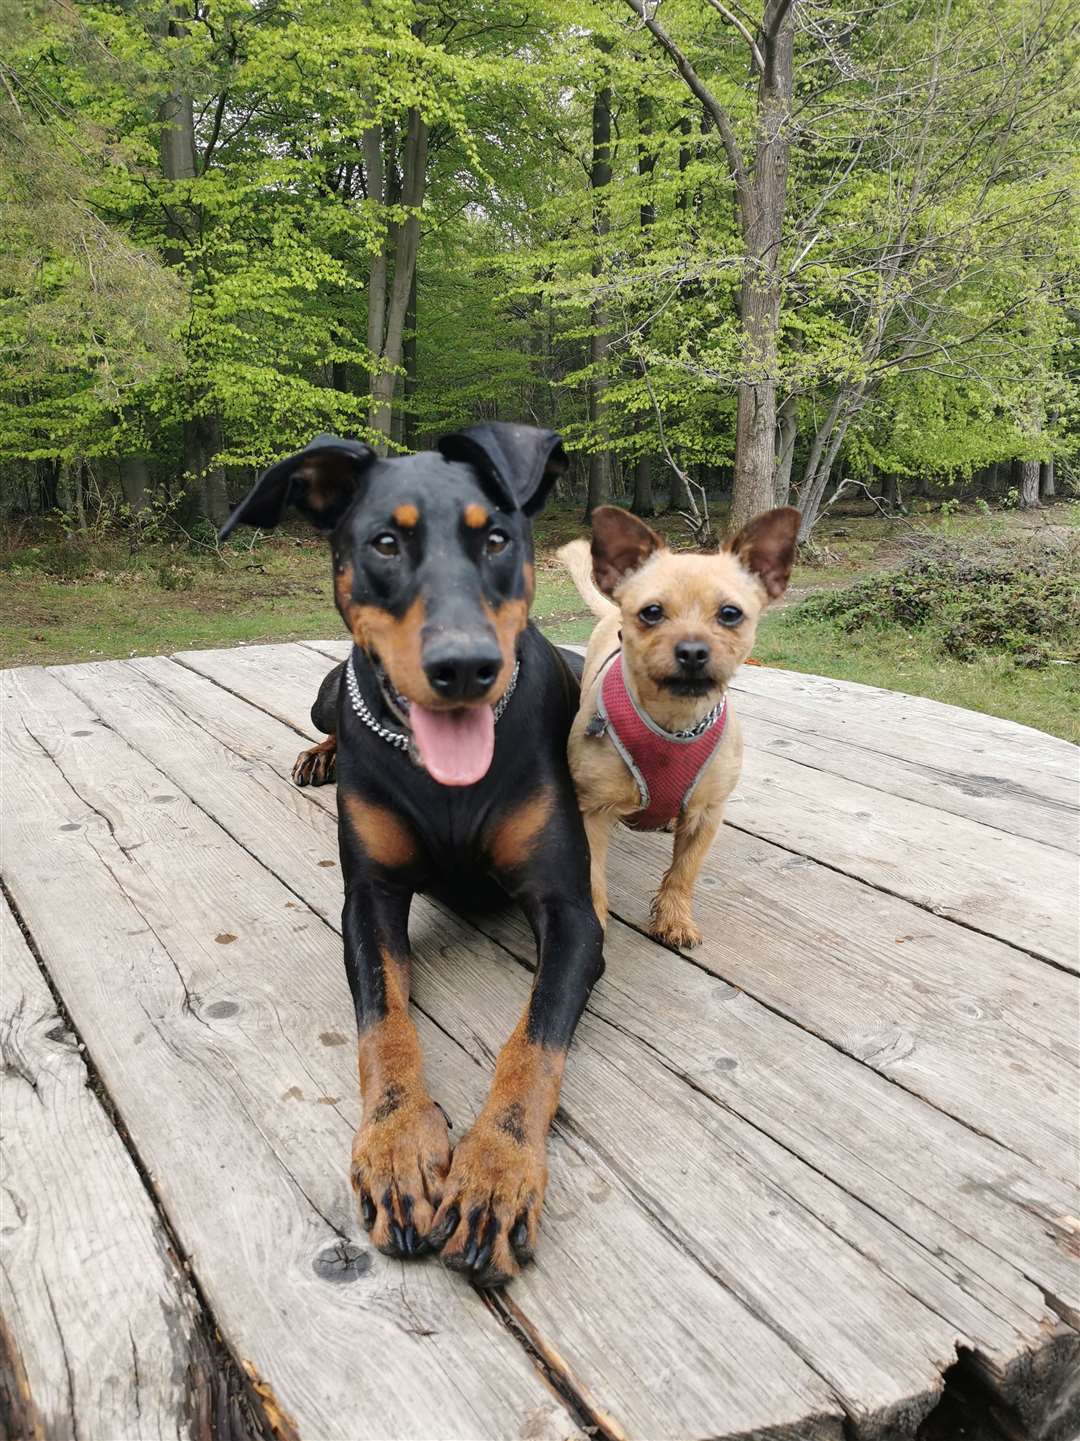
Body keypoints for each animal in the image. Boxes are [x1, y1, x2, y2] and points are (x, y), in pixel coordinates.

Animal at [220, 423, 602, 1285]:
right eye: (385, 543)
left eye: (496, 538)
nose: (464, 668)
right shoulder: (368, 898)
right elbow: (382, 1023)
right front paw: (398, 1149)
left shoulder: (572, 913)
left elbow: (533, 1044)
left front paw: (494, 1171)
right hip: (327, 689)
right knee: (330, 710)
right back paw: (321, 753)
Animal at [559, 504, 795, 945]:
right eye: (652, 612)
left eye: (730, 614)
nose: (692, 651)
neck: (674, 723)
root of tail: (610, 610)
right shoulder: (592, 813)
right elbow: (592, 875)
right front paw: (595, 922)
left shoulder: (706, 816)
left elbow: (683, 872)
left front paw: (674, 918)